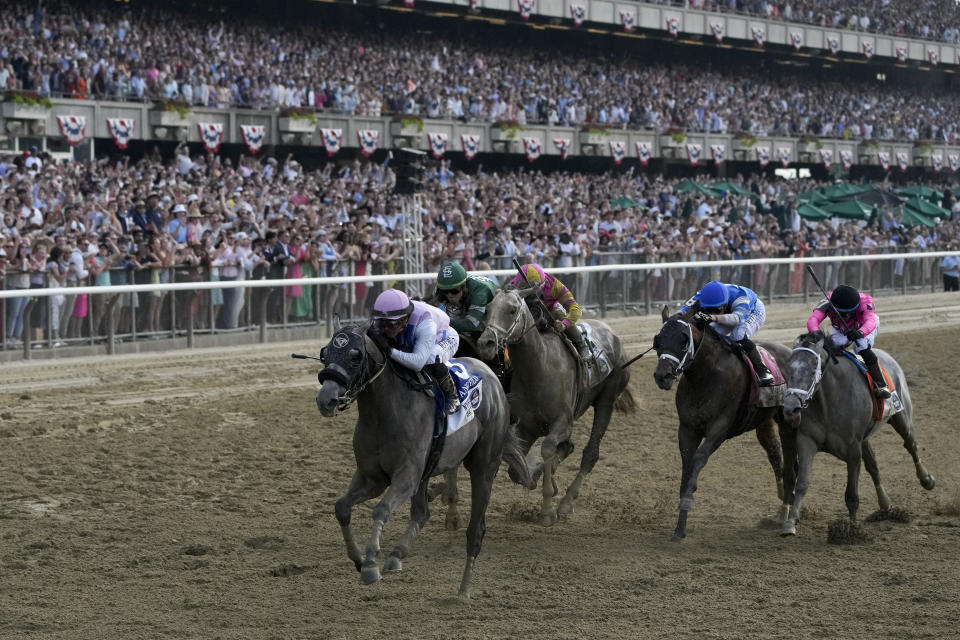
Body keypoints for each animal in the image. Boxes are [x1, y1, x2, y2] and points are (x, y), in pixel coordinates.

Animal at [316, 328, 532, 596]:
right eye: (326, 352)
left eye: (355, 356)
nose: (326, 400)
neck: (384, 411)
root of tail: (494, 379)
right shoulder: (371, 478)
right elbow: (342, 507)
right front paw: (357, 558)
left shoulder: (407, 476)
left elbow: (381, 509)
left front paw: (370, 565)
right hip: (427, 471)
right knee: (421, 513)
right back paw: (397, 555)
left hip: (483, 467)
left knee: (475, 530)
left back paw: (463, 590)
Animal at [474, 288, 636, 524]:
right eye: (487, 309)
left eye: (512, 310)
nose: (486, 343)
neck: (539, 367)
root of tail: (614, 336)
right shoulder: (526, 427)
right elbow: (516, 468)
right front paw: (536, 475)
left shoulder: (563, 422)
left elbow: (548, 448)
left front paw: (548, 510)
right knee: (570, 448)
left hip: (606, 402)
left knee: (590, 453)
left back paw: (567, 502)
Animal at [656, 304, 792, 540]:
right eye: (658, 340)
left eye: (683, 340)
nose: (661, 375)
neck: (705, 376)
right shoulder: (687, 429)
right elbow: (687, 465)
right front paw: (680, 528)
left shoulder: (719, 428)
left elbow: (697, 461)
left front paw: (688, 500)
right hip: (764, 421)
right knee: (776, 456)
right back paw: (781, 511)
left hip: (789, 420)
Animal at [780, 330, 928, 536]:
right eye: (788, 370)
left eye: (811, 370)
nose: (790, 409)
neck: (828, 402)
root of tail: (888, 357)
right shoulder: (807, 441)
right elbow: (801, 483)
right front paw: (791, 522)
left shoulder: (852, 450)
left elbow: (851, 494)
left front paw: (851, 529)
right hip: (864, 438)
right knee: (873, 465)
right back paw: (885, 504)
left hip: (901, 417)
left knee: (910, 444)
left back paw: (927, 479)